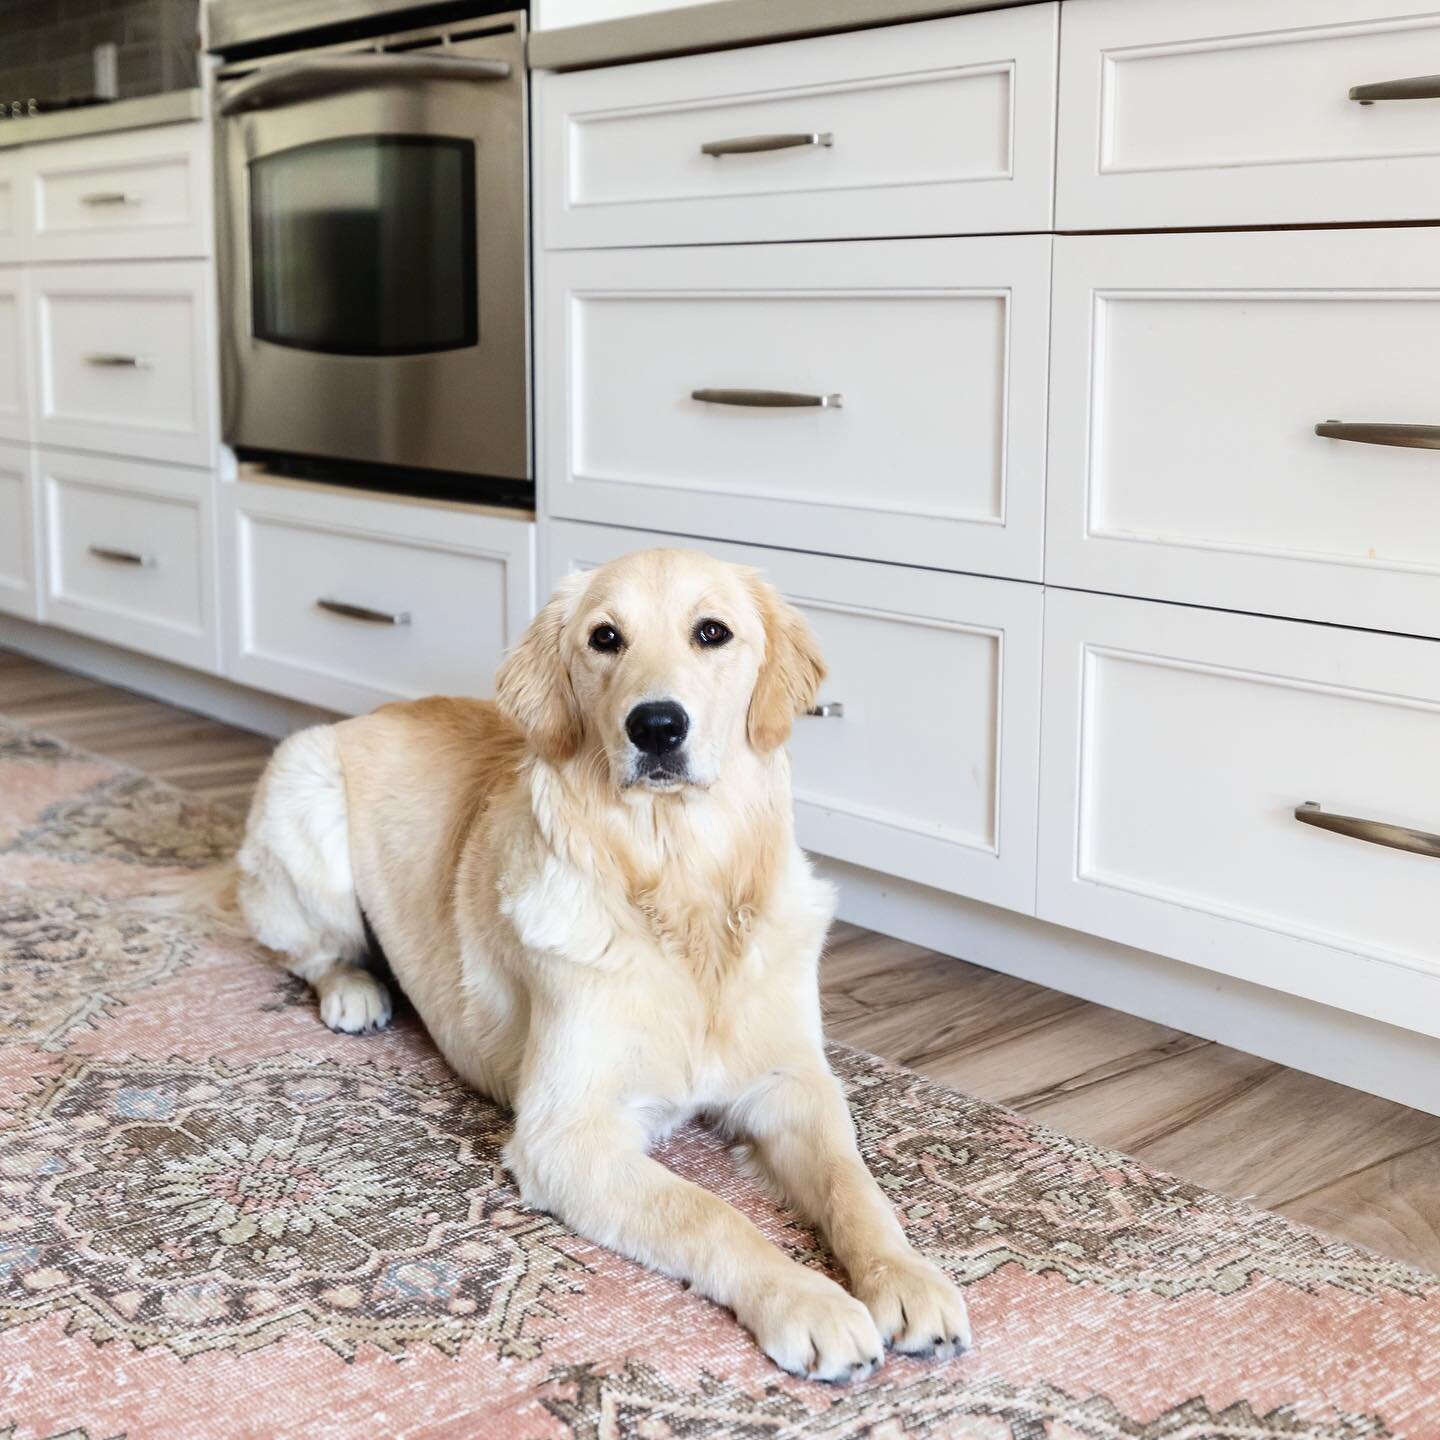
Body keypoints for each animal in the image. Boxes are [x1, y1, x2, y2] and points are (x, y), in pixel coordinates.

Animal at [224, 547, 967, 1382]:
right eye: (605, 638)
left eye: (713, 632)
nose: (656, 724)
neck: (680, 886)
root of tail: (367, 713)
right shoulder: (567, 1135)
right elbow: (708, 1212)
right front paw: (808, 1302)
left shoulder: (792, 1085)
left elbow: (855, 1184)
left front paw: (906, 1277)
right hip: (305, 794)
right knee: (310, 949)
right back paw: (353, 989)